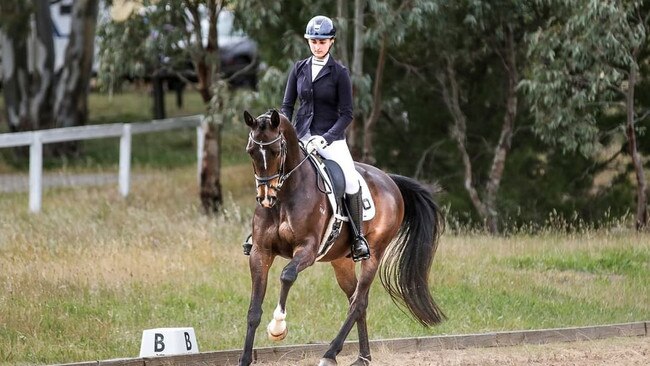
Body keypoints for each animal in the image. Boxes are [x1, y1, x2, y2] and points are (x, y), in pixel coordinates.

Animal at [240, 109, 442, 366]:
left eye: (276, 151)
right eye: (251, 152)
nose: (266, 198)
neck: (285, 196)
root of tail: (388, 179)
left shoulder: (307, 249)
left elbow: (287, 276)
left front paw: (278, 327)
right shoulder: (260, 252)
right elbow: (254, 310)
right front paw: (245, 359)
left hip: (374, 254)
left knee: (358, 302)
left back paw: (330, 354)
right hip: (341, 262)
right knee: (357, 300)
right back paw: (363, 357)